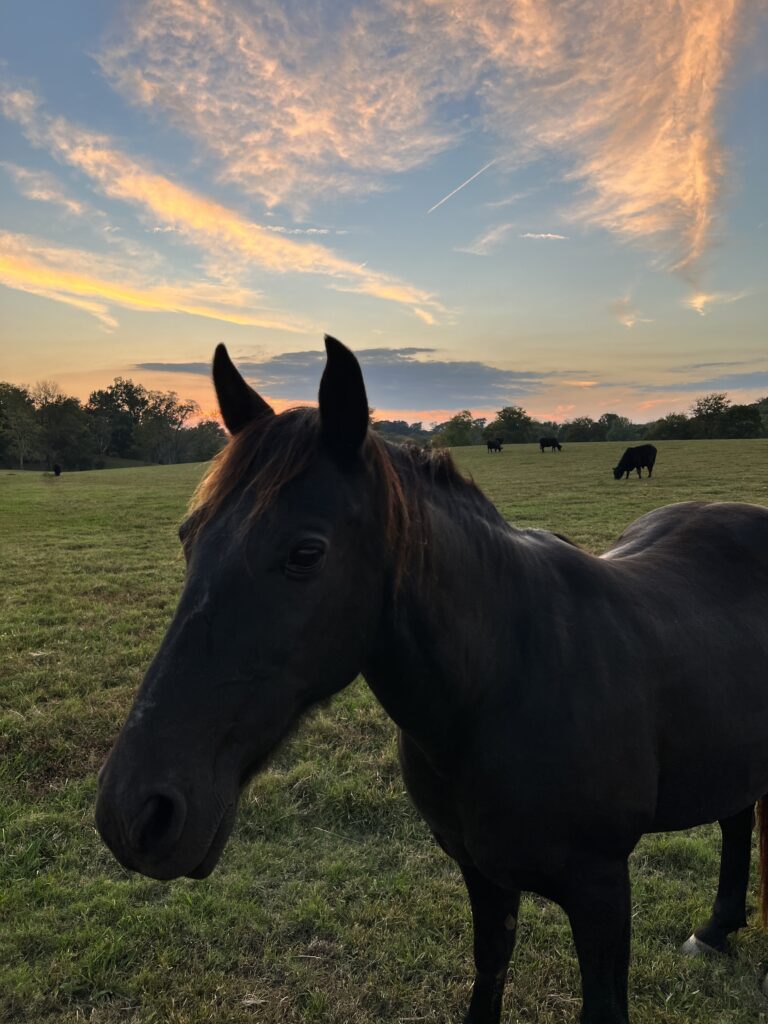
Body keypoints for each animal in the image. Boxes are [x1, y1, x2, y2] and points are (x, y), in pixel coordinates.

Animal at [96, 337, 768, 1024]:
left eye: (306, 553)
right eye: (188, 537)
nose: (133, 813)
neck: (504, 683)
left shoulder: (602, 889)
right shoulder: (482, 872)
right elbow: (488, 973)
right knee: (737, 816)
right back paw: (716, 929)